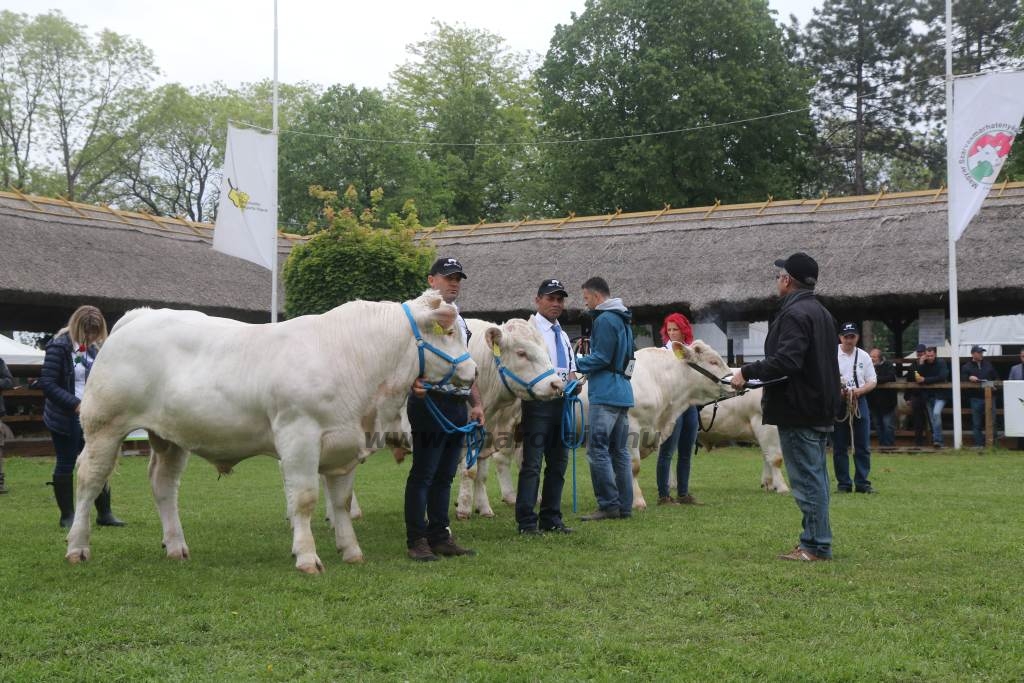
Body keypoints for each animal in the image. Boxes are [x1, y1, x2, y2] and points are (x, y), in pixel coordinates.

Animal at [68, 288, 475, 573]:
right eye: (448, 331)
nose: (472, 372)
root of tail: (139, 317)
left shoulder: (344, 444)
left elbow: (341, 502)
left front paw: (352, 551)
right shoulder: (299, 436)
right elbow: (305, 499)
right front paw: (307, 557)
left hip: (169, 436)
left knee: (163, 485)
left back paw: (176, 546)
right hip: (104, 425)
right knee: (89, 480)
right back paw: (77, 547)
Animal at [456, 317, 565, 520]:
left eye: (546, 351)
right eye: (521, 353)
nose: (556, 384)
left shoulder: (487, 435)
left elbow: (482, 473)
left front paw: (484, 508)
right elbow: (469, 470)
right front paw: (464, 508)